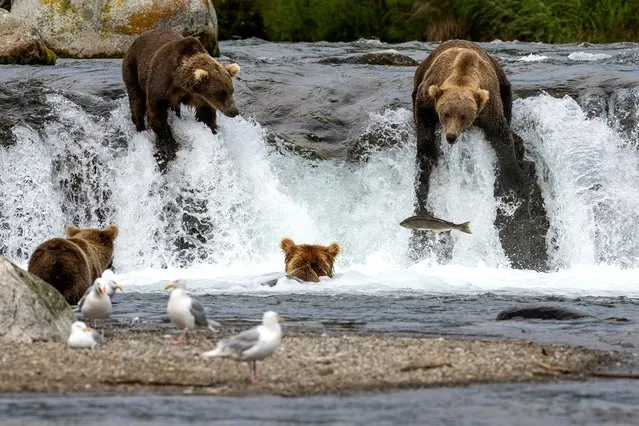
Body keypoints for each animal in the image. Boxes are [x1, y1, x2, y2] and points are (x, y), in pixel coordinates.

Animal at [121, 28, 241, 170]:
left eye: (231, 91)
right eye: (221, 93)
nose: (234, 111)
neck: (180, 82)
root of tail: (136, 40)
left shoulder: (197, 97)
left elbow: (205, 114)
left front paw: (212, 129)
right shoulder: (161, 82)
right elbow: (156, 113)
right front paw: (168, 145)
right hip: (132, 68)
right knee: (136, 99)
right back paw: (140, 128)